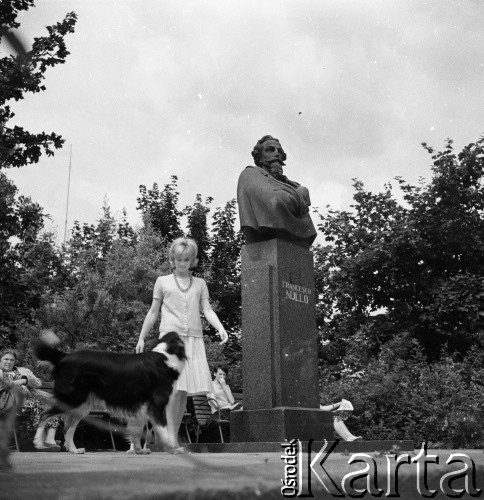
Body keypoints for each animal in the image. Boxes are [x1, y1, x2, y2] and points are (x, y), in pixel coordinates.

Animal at [32, 332, 186, 454]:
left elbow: (137, 430)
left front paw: (138, 450)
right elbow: (164, 430)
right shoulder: (157, 405)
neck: (166, 355)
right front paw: (174, 449)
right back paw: (38, 443)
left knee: (68, 427)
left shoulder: (141, 408)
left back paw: (74, 450)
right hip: (72, 398)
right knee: (45, 414)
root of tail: (63, 356)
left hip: (82, 405)